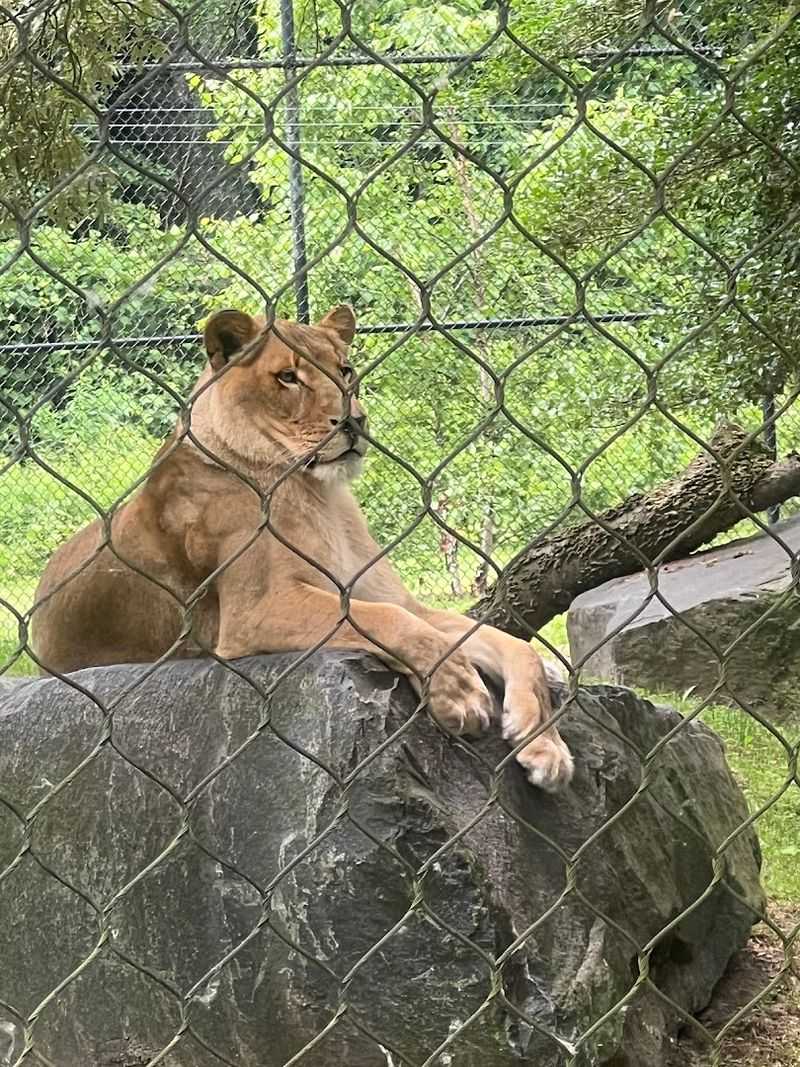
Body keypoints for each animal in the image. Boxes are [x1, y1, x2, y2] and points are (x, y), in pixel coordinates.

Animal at [31, 305, 573, 791]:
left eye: (346, 370)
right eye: (288, 377)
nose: (353, 422)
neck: (321, 494)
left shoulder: (399, 599)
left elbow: (508, 645)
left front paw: (545, 745)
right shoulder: (257, 610)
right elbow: (389, 622)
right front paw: (460, 694)